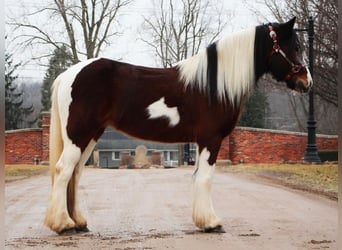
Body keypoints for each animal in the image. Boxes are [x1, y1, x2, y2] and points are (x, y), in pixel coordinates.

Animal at [44, 17, 312, 234]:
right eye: (296, 47)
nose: (306, 82)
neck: (214, 86)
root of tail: (69, 74)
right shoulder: (211, 140)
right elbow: (205, 178)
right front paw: (211, 223)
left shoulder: (201, 142)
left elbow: (198, 177)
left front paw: (204, 220)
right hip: (79, 135)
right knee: (63, 170)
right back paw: (63, 225)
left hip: (90, 135)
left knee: (75, 173)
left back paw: (78, 222)